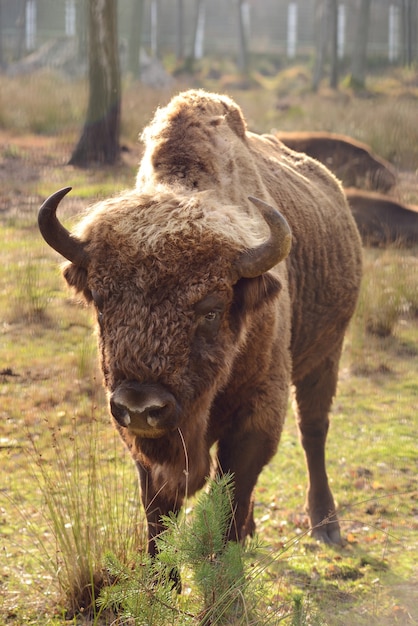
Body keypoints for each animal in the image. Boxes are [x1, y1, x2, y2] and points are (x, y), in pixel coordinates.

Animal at [38, 88, 362, 556]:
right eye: (100, 303)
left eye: (211, 310)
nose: (141, 406)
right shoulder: (143, 446)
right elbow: (158, 516)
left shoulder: (257, 417)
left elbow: (232, 498)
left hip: (327, 354)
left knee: (313, 431)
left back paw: (327, 525)